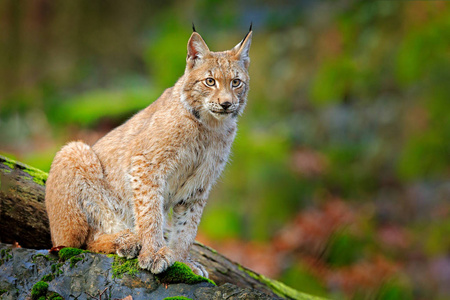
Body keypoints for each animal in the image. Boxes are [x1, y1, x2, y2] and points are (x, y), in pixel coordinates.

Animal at [45, 26, 253, 276]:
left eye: (236, 82)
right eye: (210, 81)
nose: (226, 104)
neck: (209, 126)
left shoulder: (200, 184)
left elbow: (188, 228)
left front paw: (182, 261)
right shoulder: (146, 164)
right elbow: (150, 213)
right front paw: (154, 252)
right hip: (74, 150)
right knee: (80, 242)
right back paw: (127, 239)